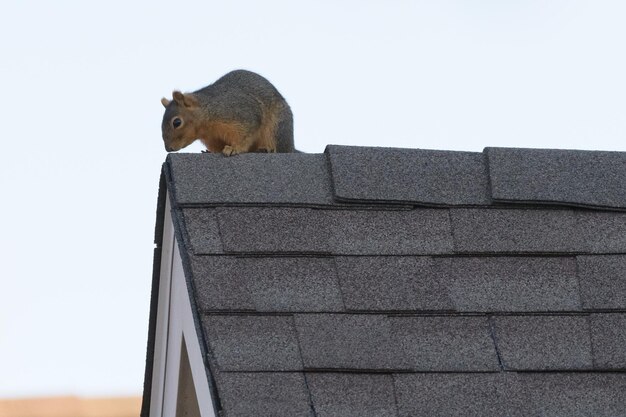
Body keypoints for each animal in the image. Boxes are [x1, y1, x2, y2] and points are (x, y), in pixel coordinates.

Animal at [163, 70, 294, 154]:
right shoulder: (212, 139)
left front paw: (234, 149)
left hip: (276, 129)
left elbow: (245, 136)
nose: (168, 149)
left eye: (177, 122)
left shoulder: (241, 115)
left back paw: (266, 149)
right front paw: (210, 152)